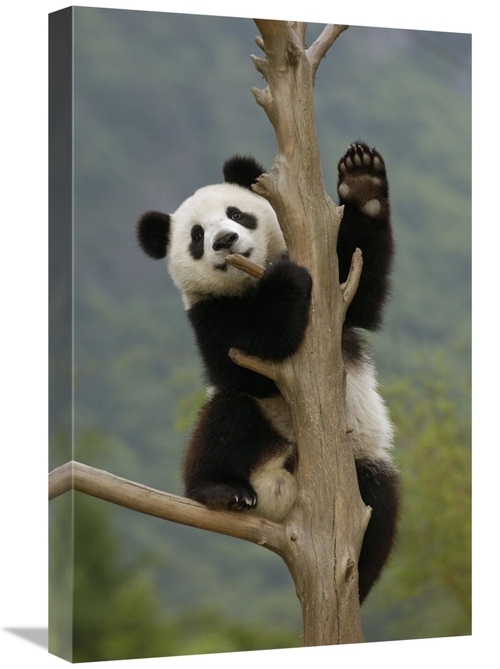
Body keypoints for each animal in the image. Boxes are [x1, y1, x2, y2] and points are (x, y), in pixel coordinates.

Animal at [137, 143, 400, 603]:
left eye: (237, 214)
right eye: (197, 236)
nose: (225, 240)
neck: (248, 284)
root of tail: (282, 495)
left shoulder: (335, 305)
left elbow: (359, 281)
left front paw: (362, 182)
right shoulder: (208, 314)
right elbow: (246, 365)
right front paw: (284, 281)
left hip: (358, 462)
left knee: (379, 500)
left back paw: (356, 585)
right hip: (257, 436)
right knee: (228, 415)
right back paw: (220, 490)